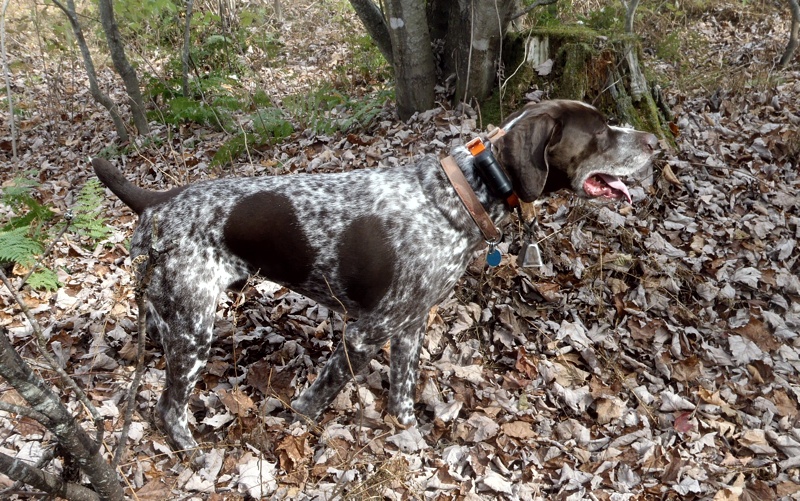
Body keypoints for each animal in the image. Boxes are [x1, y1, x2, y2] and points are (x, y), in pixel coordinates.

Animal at [92, 99, 656, 452]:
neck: (461, 193)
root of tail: (160, 200)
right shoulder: (364, 333)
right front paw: (297, 425)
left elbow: (403, 391)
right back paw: (189, 449)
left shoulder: (410, 325)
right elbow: (314, 399)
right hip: (193, 329)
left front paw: (408, 437)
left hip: (171, 315)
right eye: (601, 132)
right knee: (168, 409)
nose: (653, 139)